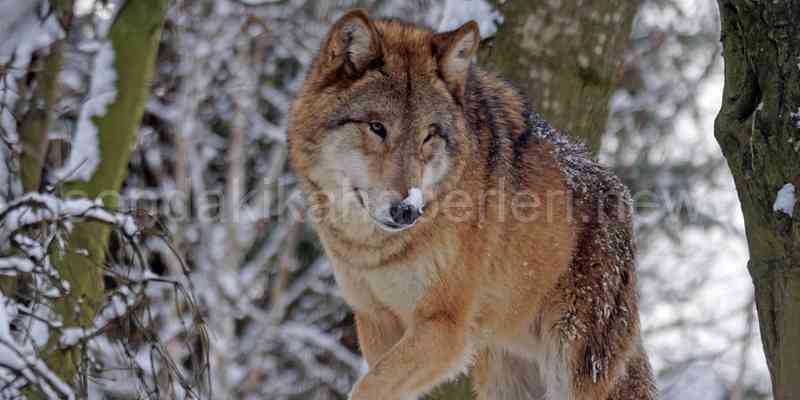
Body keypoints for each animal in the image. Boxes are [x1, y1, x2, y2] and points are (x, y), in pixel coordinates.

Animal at [288, 9, 656, 400]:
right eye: (376, 127)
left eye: (429, 136)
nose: (407, 210)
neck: (373, 249)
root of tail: (622, 199)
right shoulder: (375, 320)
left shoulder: (445, 329)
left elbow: (366, 387)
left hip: (568, 367)